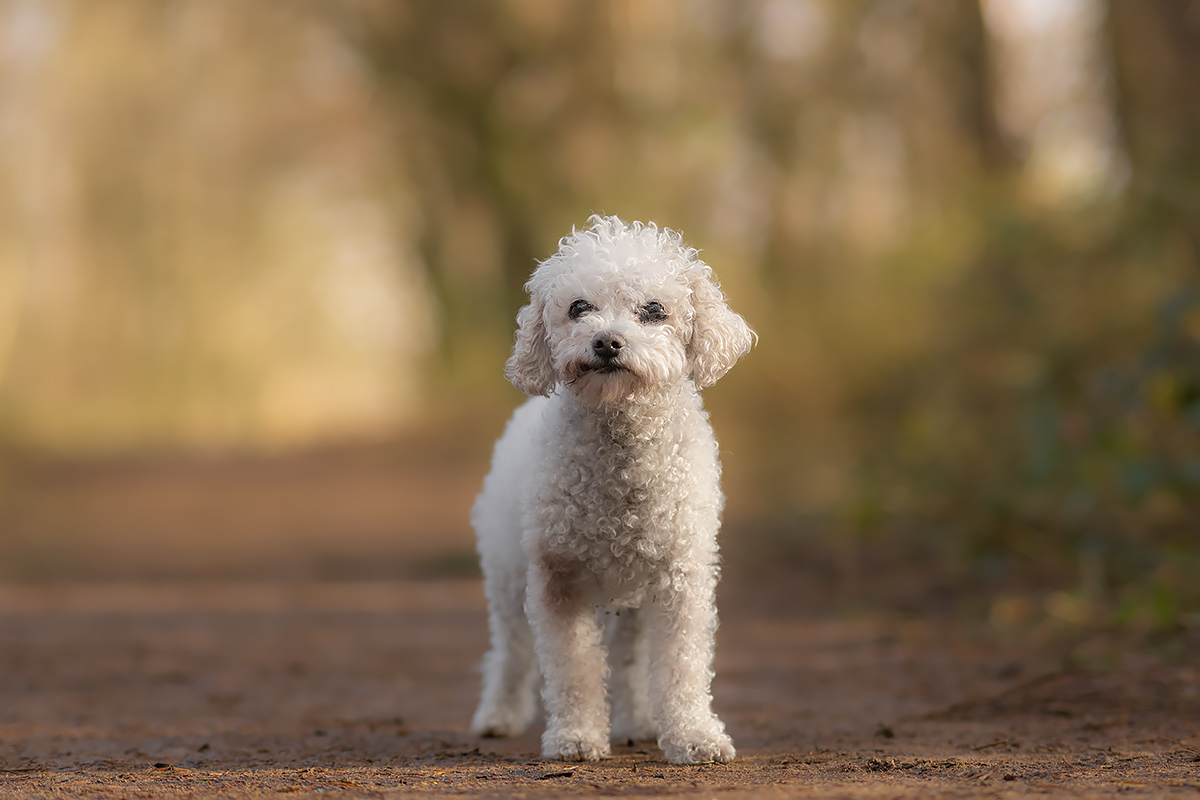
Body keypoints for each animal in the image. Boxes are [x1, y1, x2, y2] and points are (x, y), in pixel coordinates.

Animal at [468, 215, 748, 767]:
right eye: (579, 307)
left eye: (654, 310)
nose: (607, 342)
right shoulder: (558, 580)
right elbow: (573, 668)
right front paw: (576, 737)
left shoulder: (681, 579)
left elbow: (682, 667)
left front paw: (693, 736)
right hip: (507, 576)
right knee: (510, 651)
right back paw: (498, 715)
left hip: (634, 598)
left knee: (631, 659)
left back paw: (640, 722)